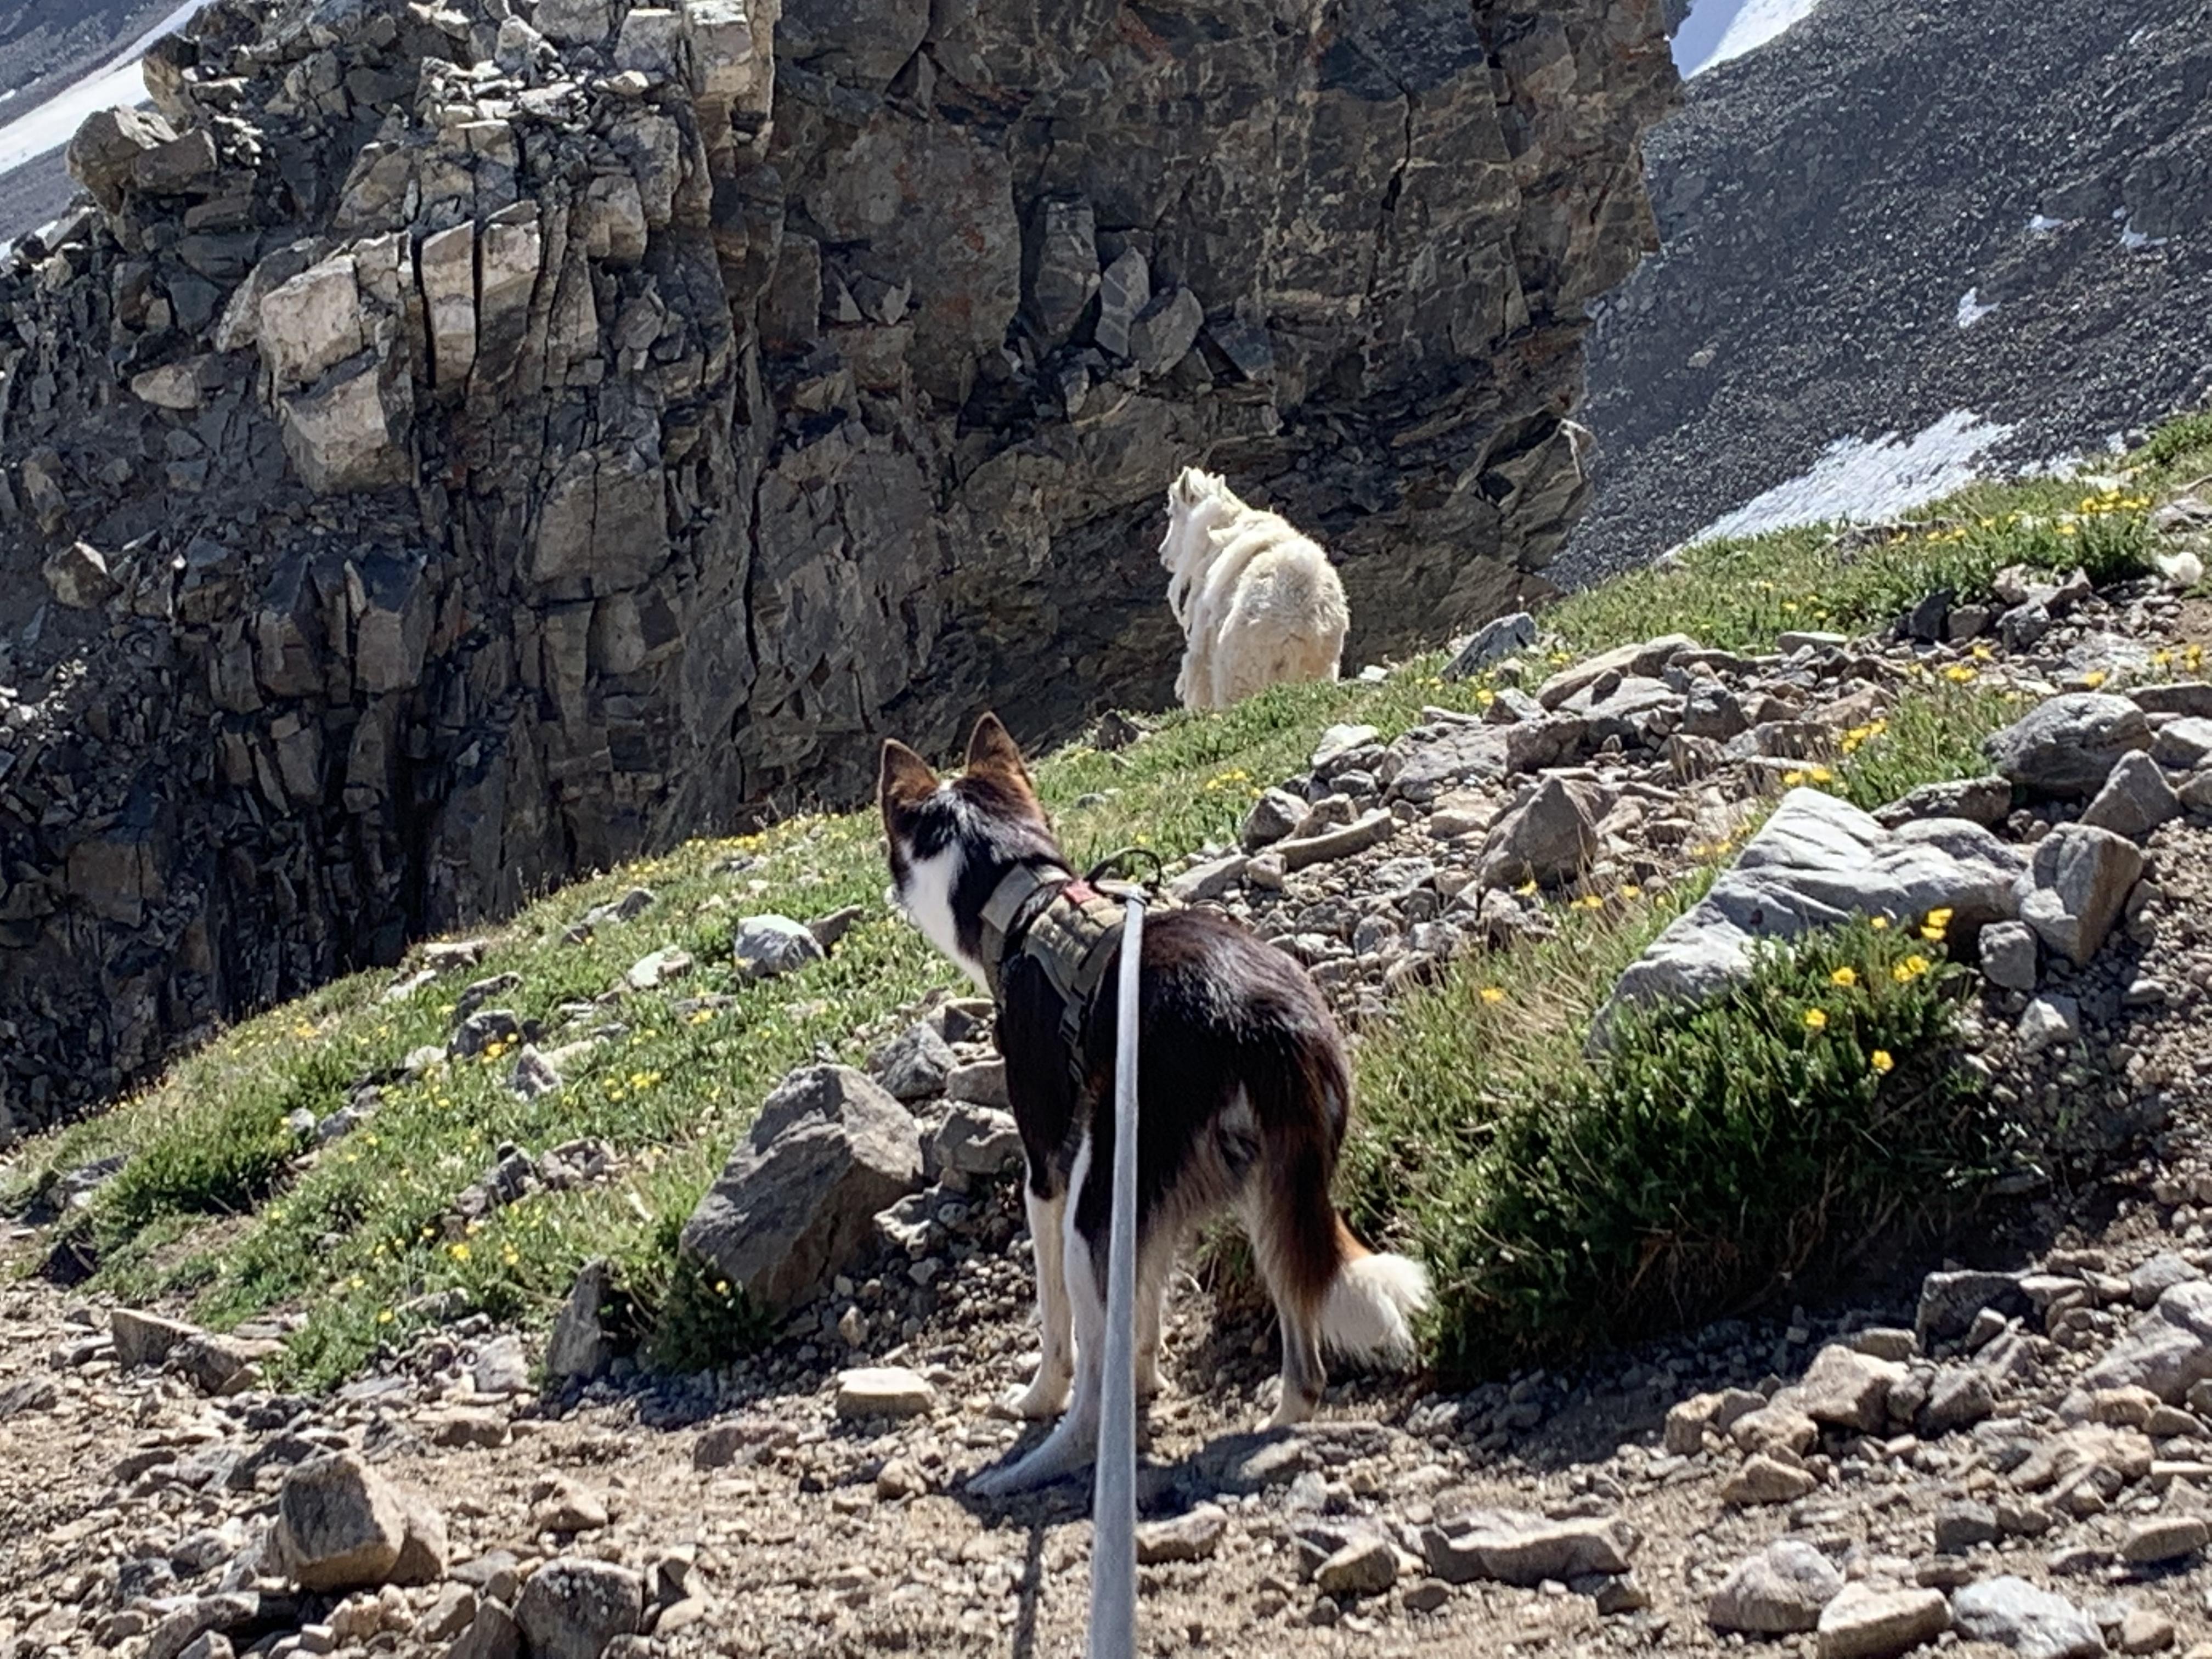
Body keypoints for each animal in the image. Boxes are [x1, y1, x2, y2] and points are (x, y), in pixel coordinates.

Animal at [878, 713, 1429, 1495]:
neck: (1025, 902)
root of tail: (1261, 1021)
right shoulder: (1148, 1212)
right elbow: (1140, 1319)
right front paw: (1145, 1383)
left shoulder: (1049, 1174)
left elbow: (1058, 1328)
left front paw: (1038, 1398)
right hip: (1271, 1193)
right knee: (1306, 1357)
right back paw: (1275, 1425)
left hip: (1097, 1206)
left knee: (1089, 1395)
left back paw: (1033, 1469)